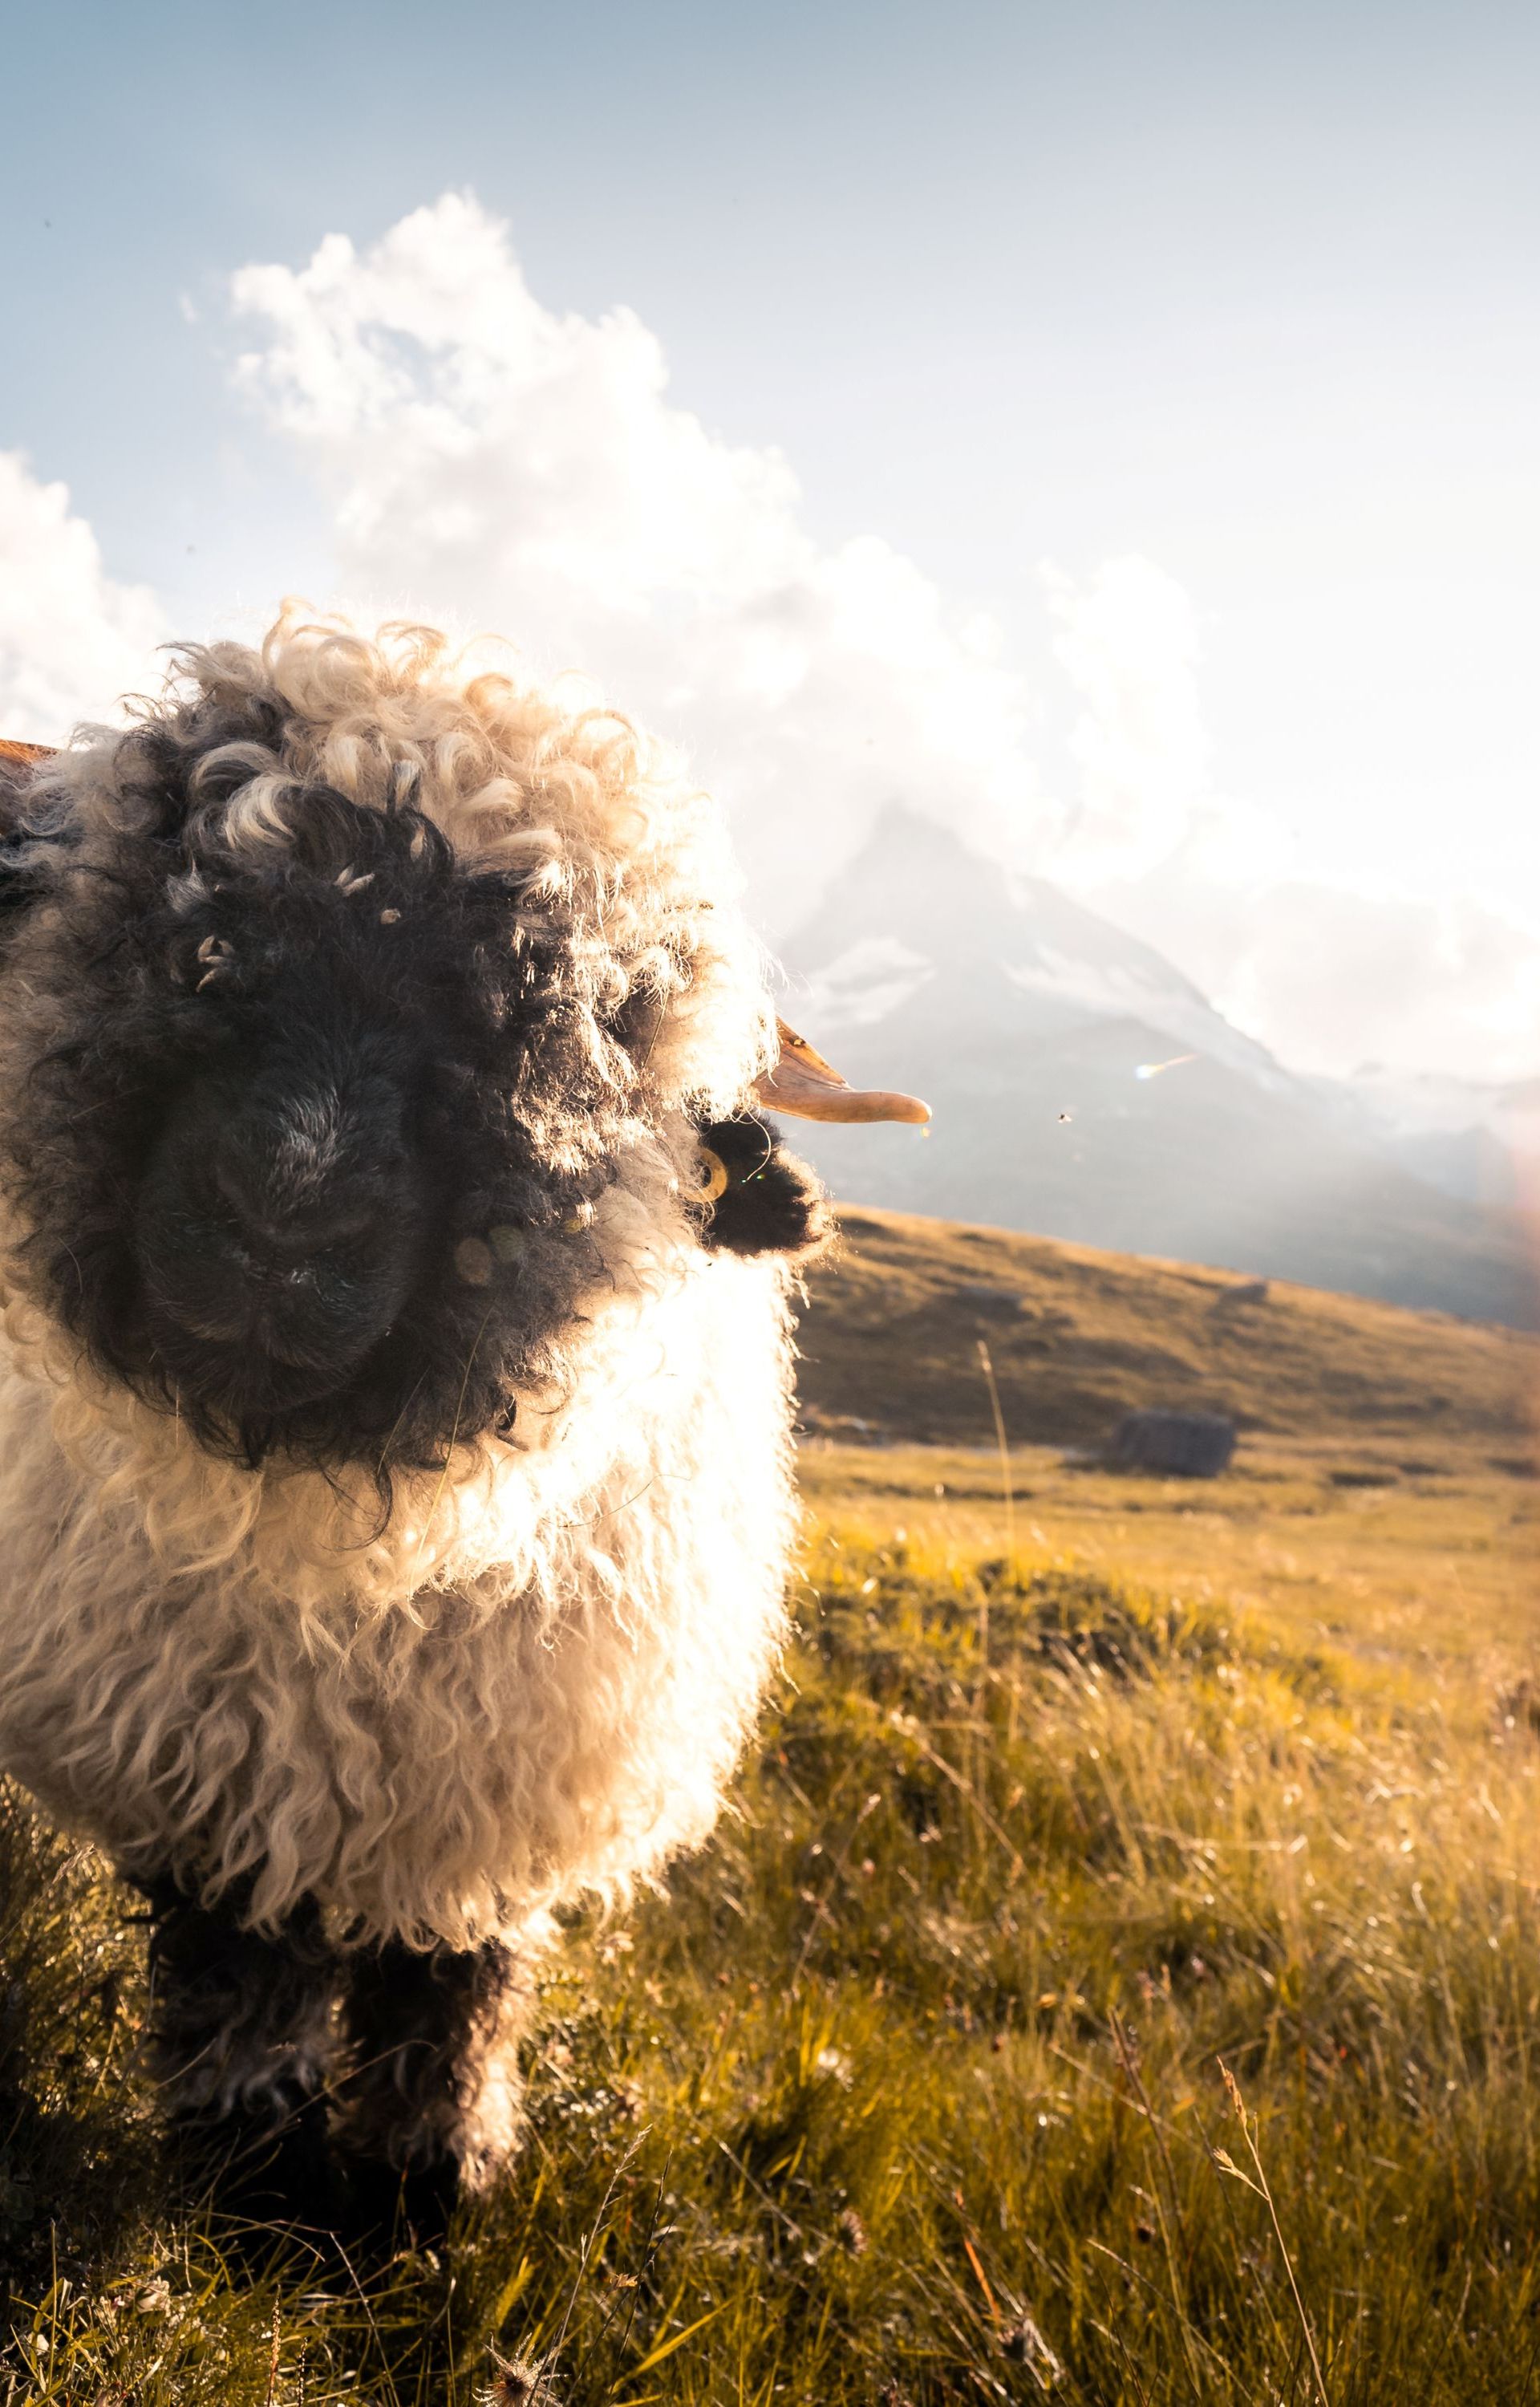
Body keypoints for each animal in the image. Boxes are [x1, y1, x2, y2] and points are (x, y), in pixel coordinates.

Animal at [0, 616, 926, 2250]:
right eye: (196, 935)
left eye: (588, 1032)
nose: (279, 1228)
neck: (339, 1560)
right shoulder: (217, 1764)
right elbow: (245, 1980)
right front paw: (259, 2193)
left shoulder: (488, 1787)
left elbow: (454, 1989)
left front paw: (423, 2194)